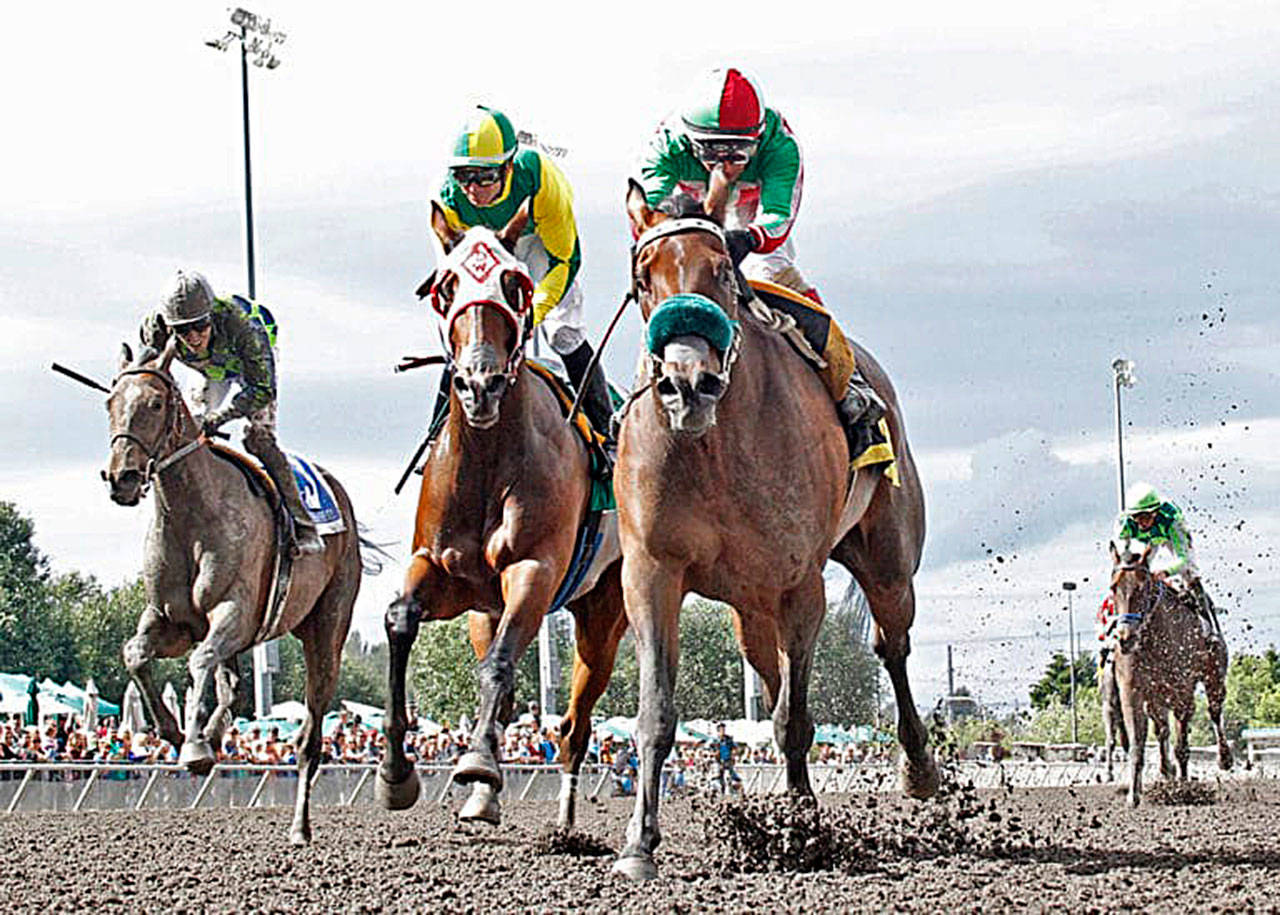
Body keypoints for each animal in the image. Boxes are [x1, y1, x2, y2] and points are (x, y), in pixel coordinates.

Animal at [101, 342, 363, 844]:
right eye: (110, 402)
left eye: (155, 404)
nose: (121, 477)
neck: (191, 516)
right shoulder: (170, 620)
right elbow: (136, 654)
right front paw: (175, 731)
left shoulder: (235, 613)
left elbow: (200, 660)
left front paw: (194, 745)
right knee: (234, 684)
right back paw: (216, 731)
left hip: (327, 630)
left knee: (309, 736)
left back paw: (299, 826)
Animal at [373, 206, 627, 829]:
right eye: (446, 287)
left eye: (515, 283)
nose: (480, 384)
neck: (488, 457)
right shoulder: (442, 571)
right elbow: (400, 621)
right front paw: (396, 773)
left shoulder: (533, 570)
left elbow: (501, 666)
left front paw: (480, 764)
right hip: (481, 614)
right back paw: (484, 801)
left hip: (602, 615)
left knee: (574, 727)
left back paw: (563, 820)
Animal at [614, 185, 936, 880]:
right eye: (644, 278)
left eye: (722, 272)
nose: (688, 384)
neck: (712, 446)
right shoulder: (651, 571)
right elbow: (657, 711)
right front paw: (639, 844)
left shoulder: (800, 584)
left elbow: (794, 721)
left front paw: (803, 826)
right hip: (750, 608)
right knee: (770, 673)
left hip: (889, 565)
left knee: (891, 647)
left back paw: (919, 768)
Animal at [1111, 545, 1228, 808]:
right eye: (1114, 588)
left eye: (1142, 588)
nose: (1125, 638)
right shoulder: (1132, 693)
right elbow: (1137, 744)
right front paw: (1134, 796)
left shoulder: (1182, 692)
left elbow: (1182, 746)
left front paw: (1184, 790)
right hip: (1157, 697)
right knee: (1161, 729)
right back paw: (1166, 772)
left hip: (1213, 677)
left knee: (1214, 712)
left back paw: (1224, 758)